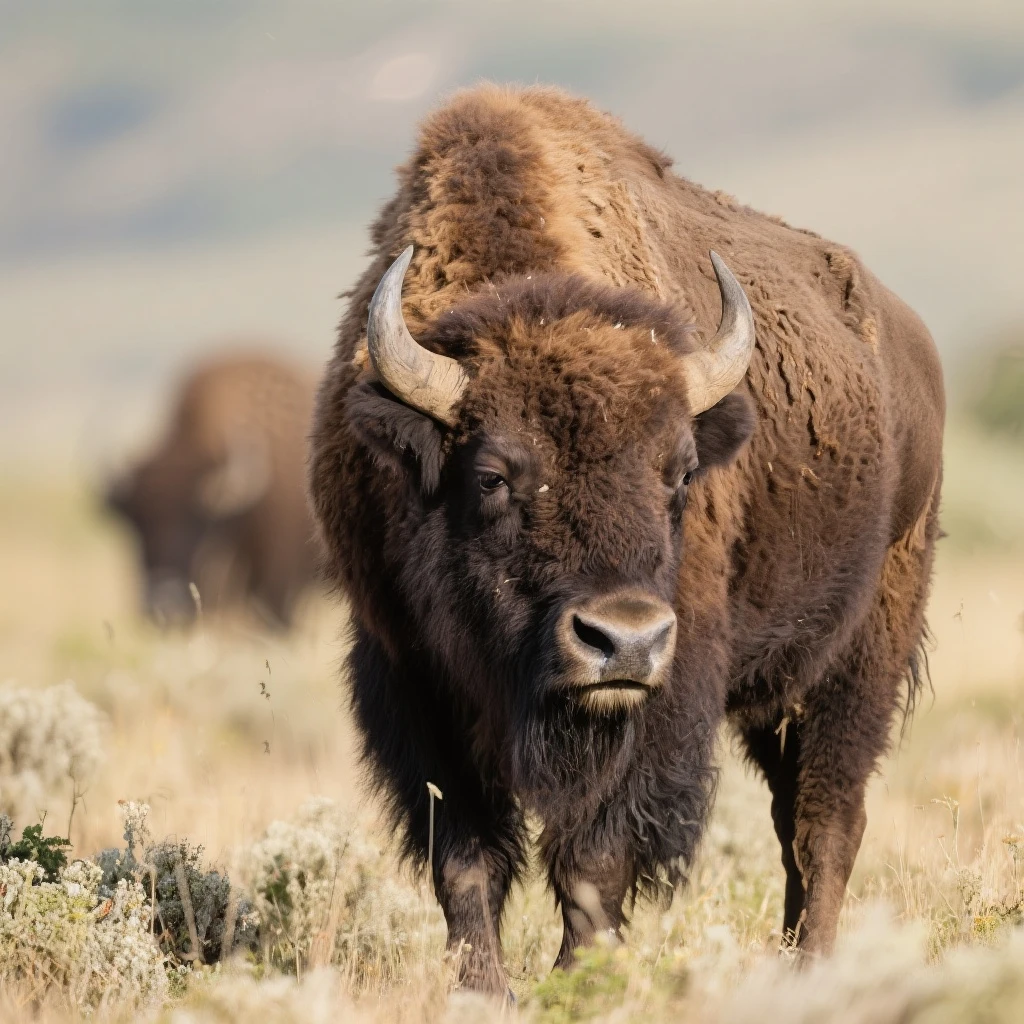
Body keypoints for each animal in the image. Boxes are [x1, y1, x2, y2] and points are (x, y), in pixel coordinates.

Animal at [309, 86, 944, 993]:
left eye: (680, 473)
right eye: (493, 475)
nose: (624, 640)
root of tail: (911, 349)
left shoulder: (665, 701)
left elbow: (594, 861)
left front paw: (580, 982)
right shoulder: (411, 678)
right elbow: (465, 859)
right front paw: (485, 991)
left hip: (861, 655)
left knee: (825, 820)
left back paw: (814, 970)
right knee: (795, 817)